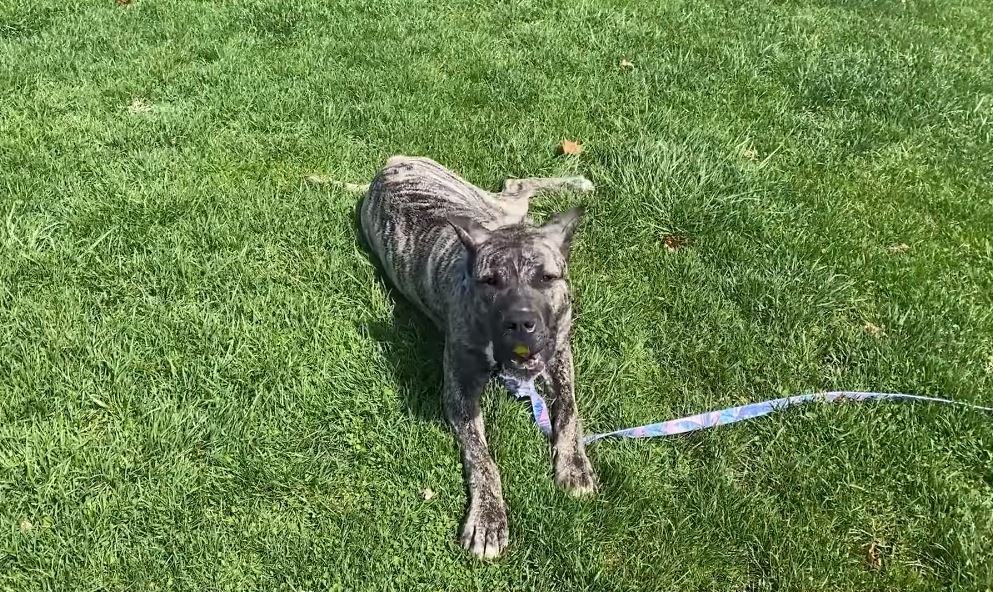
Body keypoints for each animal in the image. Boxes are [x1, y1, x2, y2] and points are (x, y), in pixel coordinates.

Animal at [362, 155, 600, 556]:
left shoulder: (560, 349)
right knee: (516, 184)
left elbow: (569, 410)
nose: (520, 322)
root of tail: (392, 164)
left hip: (499, 207)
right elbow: (481, 456)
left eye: (547, 278)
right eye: (490, 281)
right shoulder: (460, 391)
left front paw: (574, 463)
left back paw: (576, 184)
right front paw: (488, 518)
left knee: (517, 184)